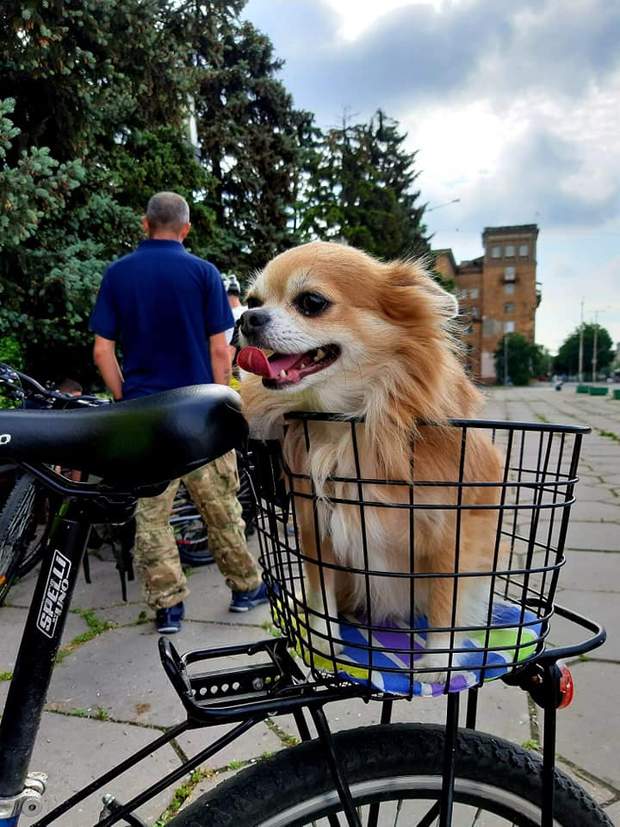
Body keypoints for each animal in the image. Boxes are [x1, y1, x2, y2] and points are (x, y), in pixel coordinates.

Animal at [238, 241, 503, 682]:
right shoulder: (316, 528)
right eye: (252, 301)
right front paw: (325, 644)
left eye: (311, 302)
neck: (349, 422)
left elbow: (446, 600)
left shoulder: (454, 531)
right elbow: (320, 593)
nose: (245, 319)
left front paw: (437, 663)